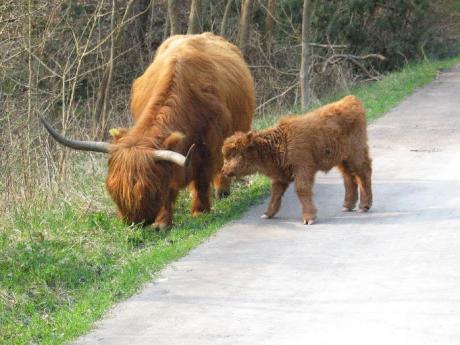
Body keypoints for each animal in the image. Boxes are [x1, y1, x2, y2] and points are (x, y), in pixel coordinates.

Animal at [221, 95, 372, 224]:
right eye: (226, 155)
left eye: (237, 154)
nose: (224, 171)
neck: (279, 141)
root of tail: (350, 100)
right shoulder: (280, 176)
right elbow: (275, 194)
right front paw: (267, 214)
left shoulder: (302, 169)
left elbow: (302, 189)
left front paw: (308, 218)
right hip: (342, 159)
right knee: (349, 177)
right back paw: (347, 205)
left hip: (356, 155)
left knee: (363, 173)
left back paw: (364, 206)